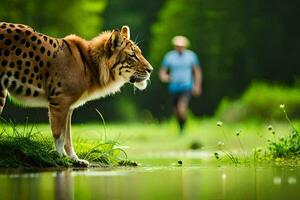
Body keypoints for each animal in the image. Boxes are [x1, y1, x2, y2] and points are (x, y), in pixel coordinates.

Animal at [0, 21, 154, 166]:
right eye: (132, 56)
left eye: (139, 53)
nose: (151, 70)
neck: (92, 66)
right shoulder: (60, 102)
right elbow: (59, 135)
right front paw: (60, 158)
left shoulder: (69, 107)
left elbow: (68, 137)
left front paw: (75, 159)